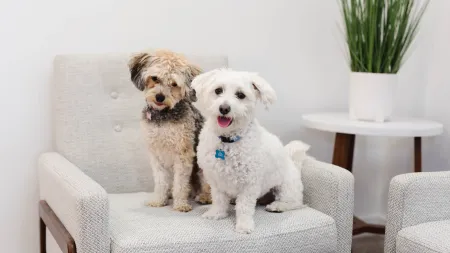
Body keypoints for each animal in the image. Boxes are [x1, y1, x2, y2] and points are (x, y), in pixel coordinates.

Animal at [126, 49, 211, 211]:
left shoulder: (183, 153)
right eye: (155, 78)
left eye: (174, 84)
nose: (159, 97)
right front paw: (159, 200)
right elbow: (161, 182)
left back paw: (204, 197)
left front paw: (181, 204)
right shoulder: (156, 154)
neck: (163, 117)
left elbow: (180, 184)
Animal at [190, 68, 310, 233]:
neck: (228, 140)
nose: (224, 108)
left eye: (241, 95)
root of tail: (294, 165)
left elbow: (244, 207)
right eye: (218, 90)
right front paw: (216, 214)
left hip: (287, 186)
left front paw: (244, 225)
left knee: (296, 203)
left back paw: (277, 206)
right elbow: (219, 200)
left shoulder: (250, 184)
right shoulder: (216, 180)